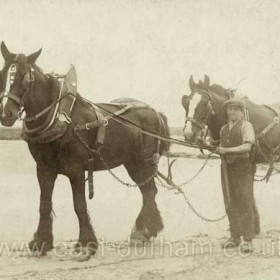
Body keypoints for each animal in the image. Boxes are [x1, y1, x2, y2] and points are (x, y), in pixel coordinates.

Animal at [0, 42, 171, 260]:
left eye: (25, 78)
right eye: (3, 74)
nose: (6, 114)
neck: (59, 118)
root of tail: (155, 112)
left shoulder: (76, 171)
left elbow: (79, 205)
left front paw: (86, 245)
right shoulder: (44, 169)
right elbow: (44, 204)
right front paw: (41, 243)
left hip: (144, 162)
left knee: (149, 192)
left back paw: (141, 232)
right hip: (132, 163)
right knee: (148, 191)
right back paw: (145, 231)